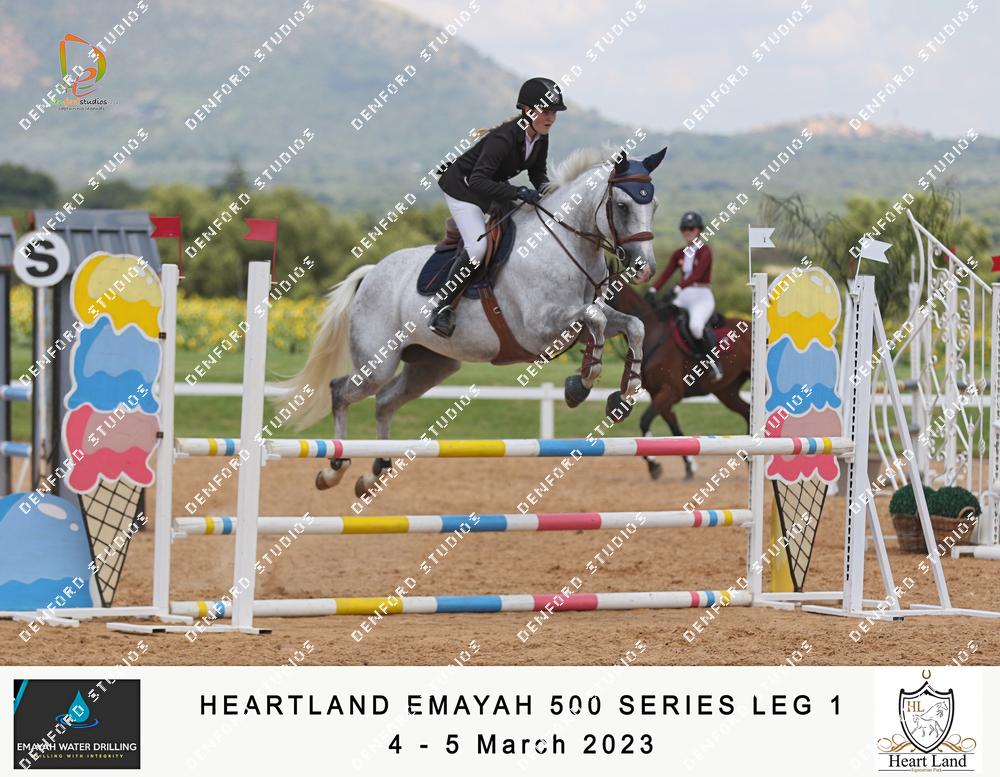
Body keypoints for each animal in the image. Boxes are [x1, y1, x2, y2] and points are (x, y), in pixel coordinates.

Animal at [281, 146, 668, 496]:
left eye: (654, 206)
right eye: (623, 206)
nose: (644, 269)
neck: (566, 245)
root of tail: (372, 272)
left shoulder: (582, 322)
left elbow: (632, 325)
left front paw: (623, 393)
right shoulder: (539, 329)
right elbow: (595, 320)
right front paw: (580, 385)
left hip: (432, 365)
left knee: (385, 402)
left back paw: (376, 471)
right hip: (378, 362)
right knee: (341, 391)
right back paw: (334, 468)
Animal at [609, 285, 752, 480]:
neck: (652, 333)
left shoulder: (671, 391)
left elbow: (645, 421)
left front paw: (653, 464)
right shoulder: (659, 395)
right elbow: (675, 431)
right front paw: (688, 467)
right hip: (727, 392)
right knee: (747, 411)